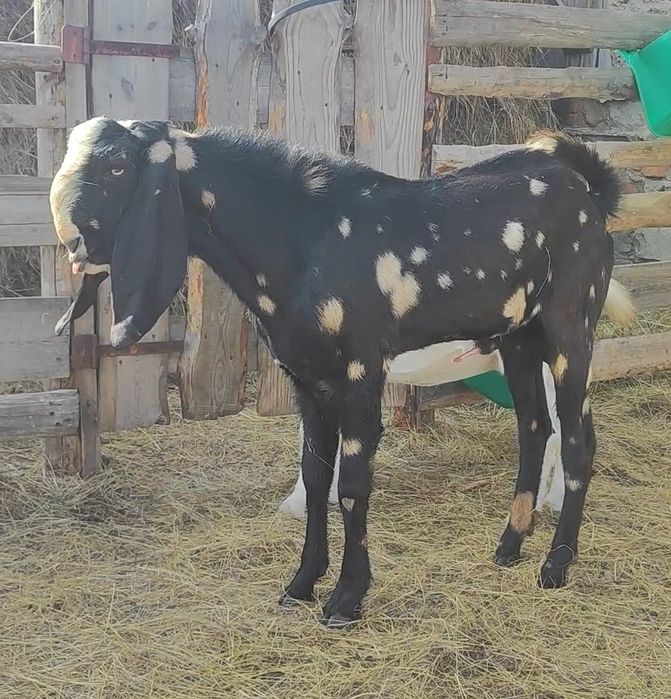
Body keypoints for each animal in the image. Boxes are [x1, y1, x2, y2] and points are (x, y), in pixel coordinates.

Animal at [50, 118, 634, 627]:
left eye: (118, 166)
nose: (72, 242)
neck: (306, 237)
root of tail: (590, 189)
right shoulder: (307, 378)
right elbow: (314, 478)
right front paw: (301, 584)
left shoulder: (360, 369)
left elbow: (351, 482)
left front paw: (347, 598)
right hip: (517, 340)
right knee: (534, 428)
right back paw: (509, 546)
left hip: (570, 331)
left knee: (578, 439)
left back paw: (556, 564)